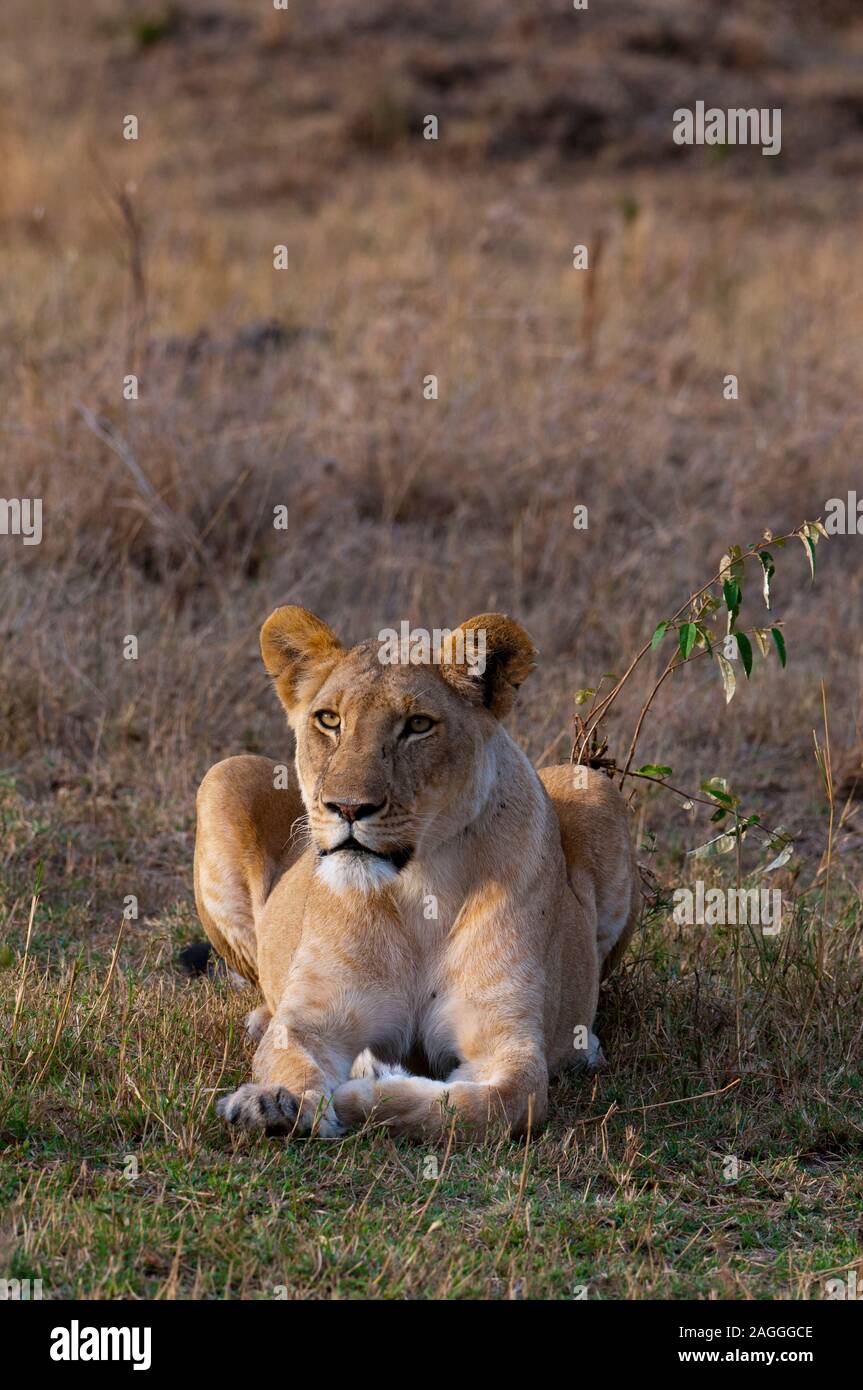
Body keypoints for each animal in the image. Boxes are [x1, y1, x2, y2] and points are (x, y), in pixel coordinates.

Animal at [193, 606, 639, 1140]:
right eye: (329, 720)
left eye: (418, 725)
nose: (348, 807)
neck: (421, 887)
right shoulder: (314, 1021)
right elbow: (291, 1058)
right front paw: (274, 1103)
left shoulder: (507, 1041)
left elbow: (487, 1105)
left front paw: (363, 1088)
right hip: (224, 774)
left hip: (593, 786)